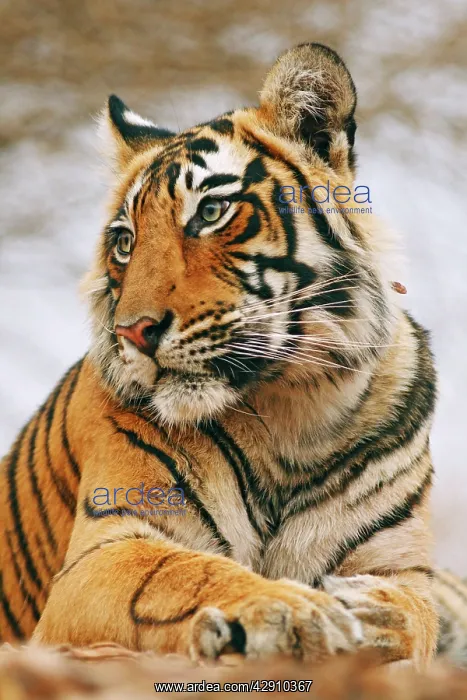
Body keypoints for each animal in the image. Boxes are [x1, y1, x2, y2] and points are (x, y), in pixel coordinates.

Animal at [0, 41, 464, 669]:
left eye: (210, 212)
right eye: (124, 242)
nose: (133, 332)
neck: (296, 407)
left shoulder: (400, 566)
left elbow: (416, 611)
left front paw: (373, 614)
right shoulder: (105, 551)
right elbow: (185, 573)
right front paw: (291, 610)